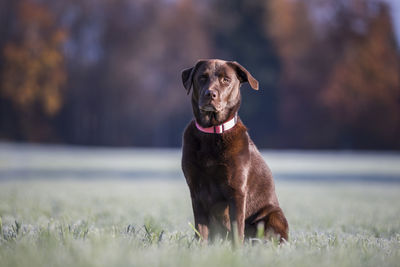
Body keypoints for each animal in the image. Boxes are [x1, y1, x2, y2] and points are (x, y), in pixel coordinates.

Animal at [180, 59, 288, 245]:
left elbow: (238, 230)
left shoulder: (236, 191)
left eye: (226, 80)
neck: (212, 133)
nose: (210, 94)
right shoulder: (196, 191)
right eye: (202, 77)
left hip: (274, 215)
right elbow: (201, 230)